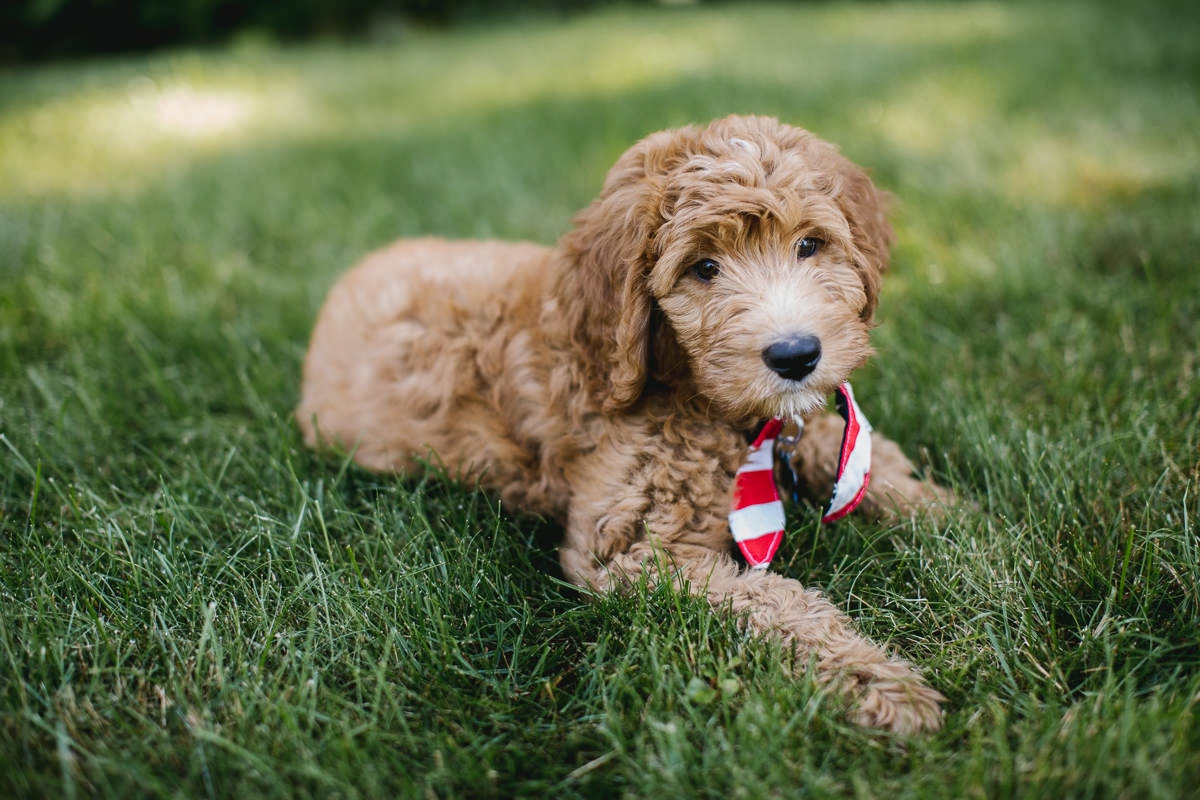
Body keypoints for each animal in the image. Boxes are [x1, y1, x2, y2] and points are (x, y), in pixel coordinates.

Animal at [297, 115, 945, 734]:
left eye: (810, 244)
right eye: (703, 267)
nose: (796, 356)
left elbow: (866, 461)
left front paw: (946, 512)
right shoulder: (633, 549)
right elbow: (771, 600)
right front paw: (879, 681)